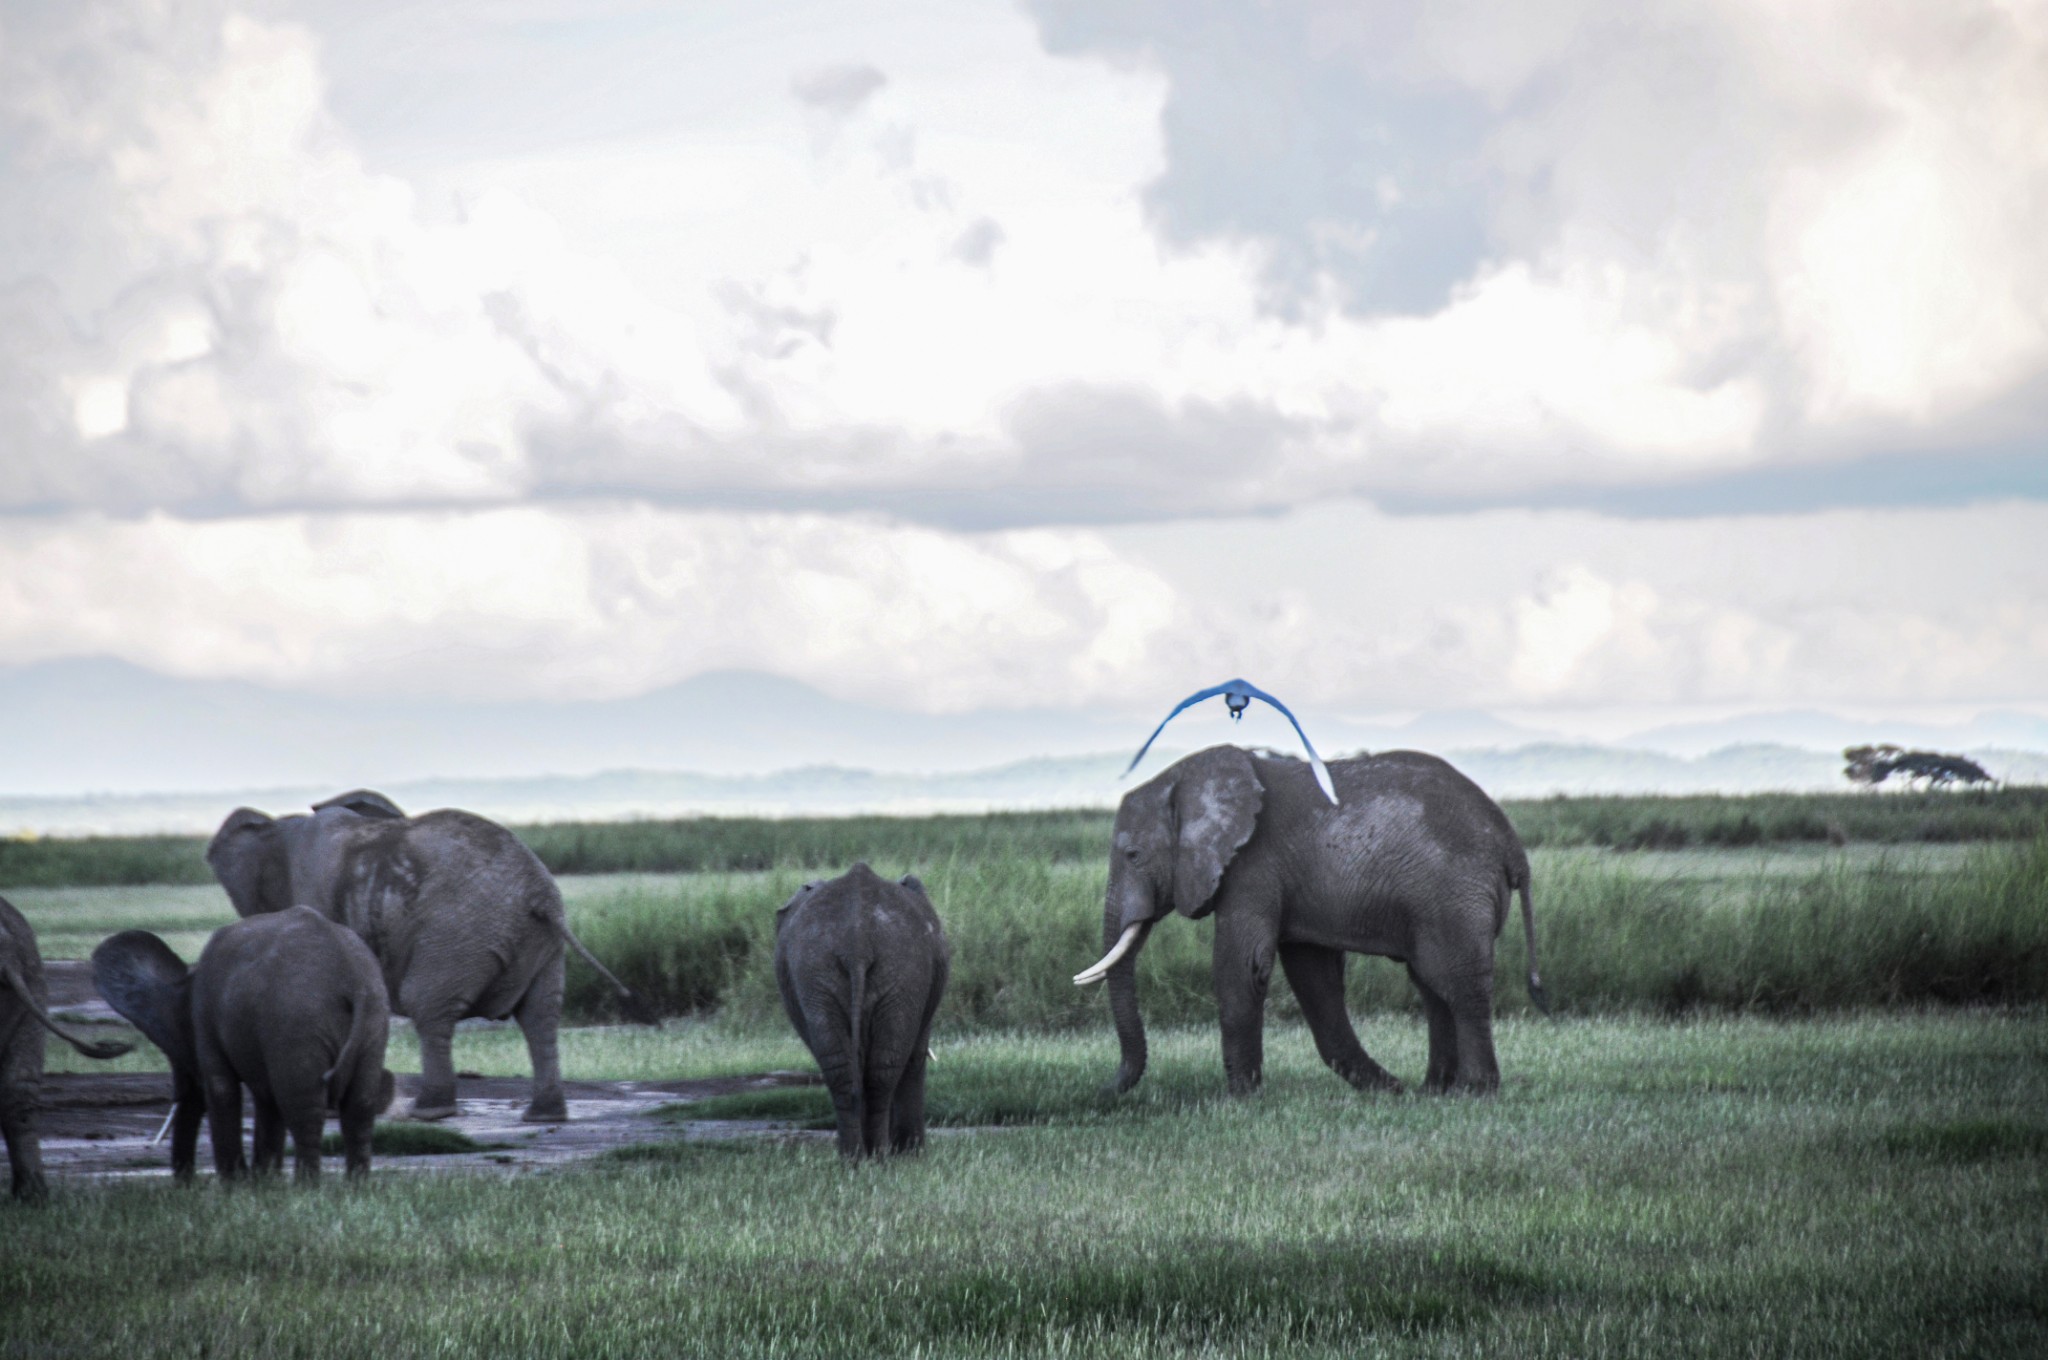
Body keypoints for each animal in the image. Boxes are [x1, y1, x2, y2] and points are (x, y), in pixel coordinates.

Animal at [93, 909, 395, 1187]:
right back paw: (355, 1187)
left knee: (303, 1107)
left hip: (298, 1022)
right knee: (359, 1105)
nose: (186, 1185)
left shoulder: (206, 1021)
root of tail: (353, 981)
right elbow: (266, 1099)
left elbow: (222, 1090)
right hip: (373, 1021)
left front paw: (237, 1185)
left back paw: (306, 1188)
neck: (189, 979)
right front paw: (263, 1184)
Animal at [203, 790, 643, 1122]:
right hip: (540, 943)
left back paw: (430, 1112)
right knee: (540, 1015)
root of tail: (540, 895)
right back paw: (543, 1115)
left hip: (457, 932)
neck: (283, 826)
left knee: (430, 1004)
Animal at [774, 864, 950, 1155]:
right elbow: (915, 1056)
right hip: (902, 970)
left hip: (819, 970)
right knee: (884, 1068)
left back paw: (856, 1157)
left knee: (844, 1069)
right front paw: (911, 1154)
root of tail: (857, 941)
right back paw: (879, 1156)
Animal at [1081, 749, 1540, 1097]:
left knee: (1458, 984)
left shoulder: (1251, 866)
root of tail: (1511, 844)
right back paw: (1432, 1092)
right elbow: (1313, 977)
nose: (1103, 1092)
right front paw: (1388, 1090)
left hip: (1455, 894)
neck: (1190, 779)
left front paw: (1240, 1100)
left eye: (1133, 856)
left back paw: (1474, 1092)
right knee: (1431, 985)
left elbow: (1243, 966)